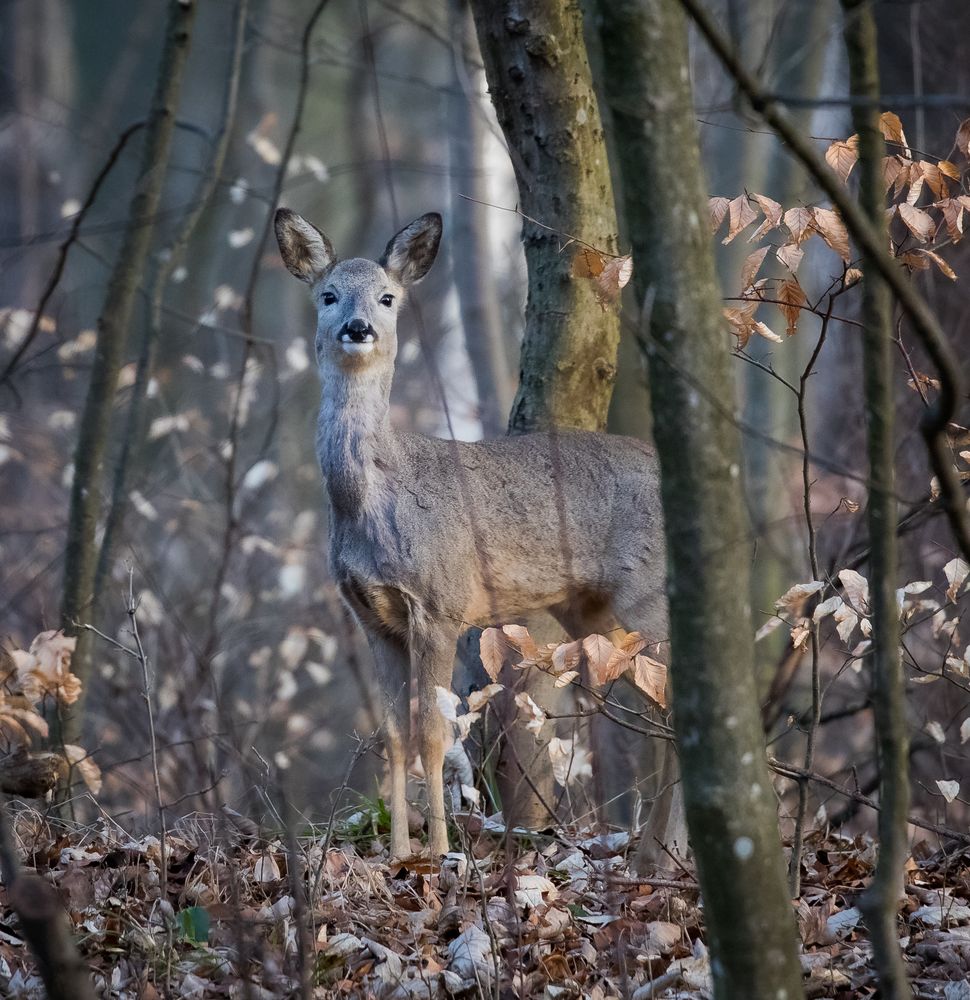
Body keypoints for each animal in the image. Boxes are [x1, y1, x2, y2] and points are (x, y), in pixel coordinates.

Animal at [274, 209, 680, 860]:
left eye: (388, 297)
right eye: (328, 295)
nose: (359, 328)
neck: (374, 500)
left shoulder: (439, 604)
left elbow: (435, 734)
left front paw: (440, 853)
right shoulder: (372, 615)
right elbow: (394, 735)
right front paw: (399, 853)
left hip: (647, 595)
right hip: (590, 612)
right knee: (662, 712)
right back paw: (657, 853)